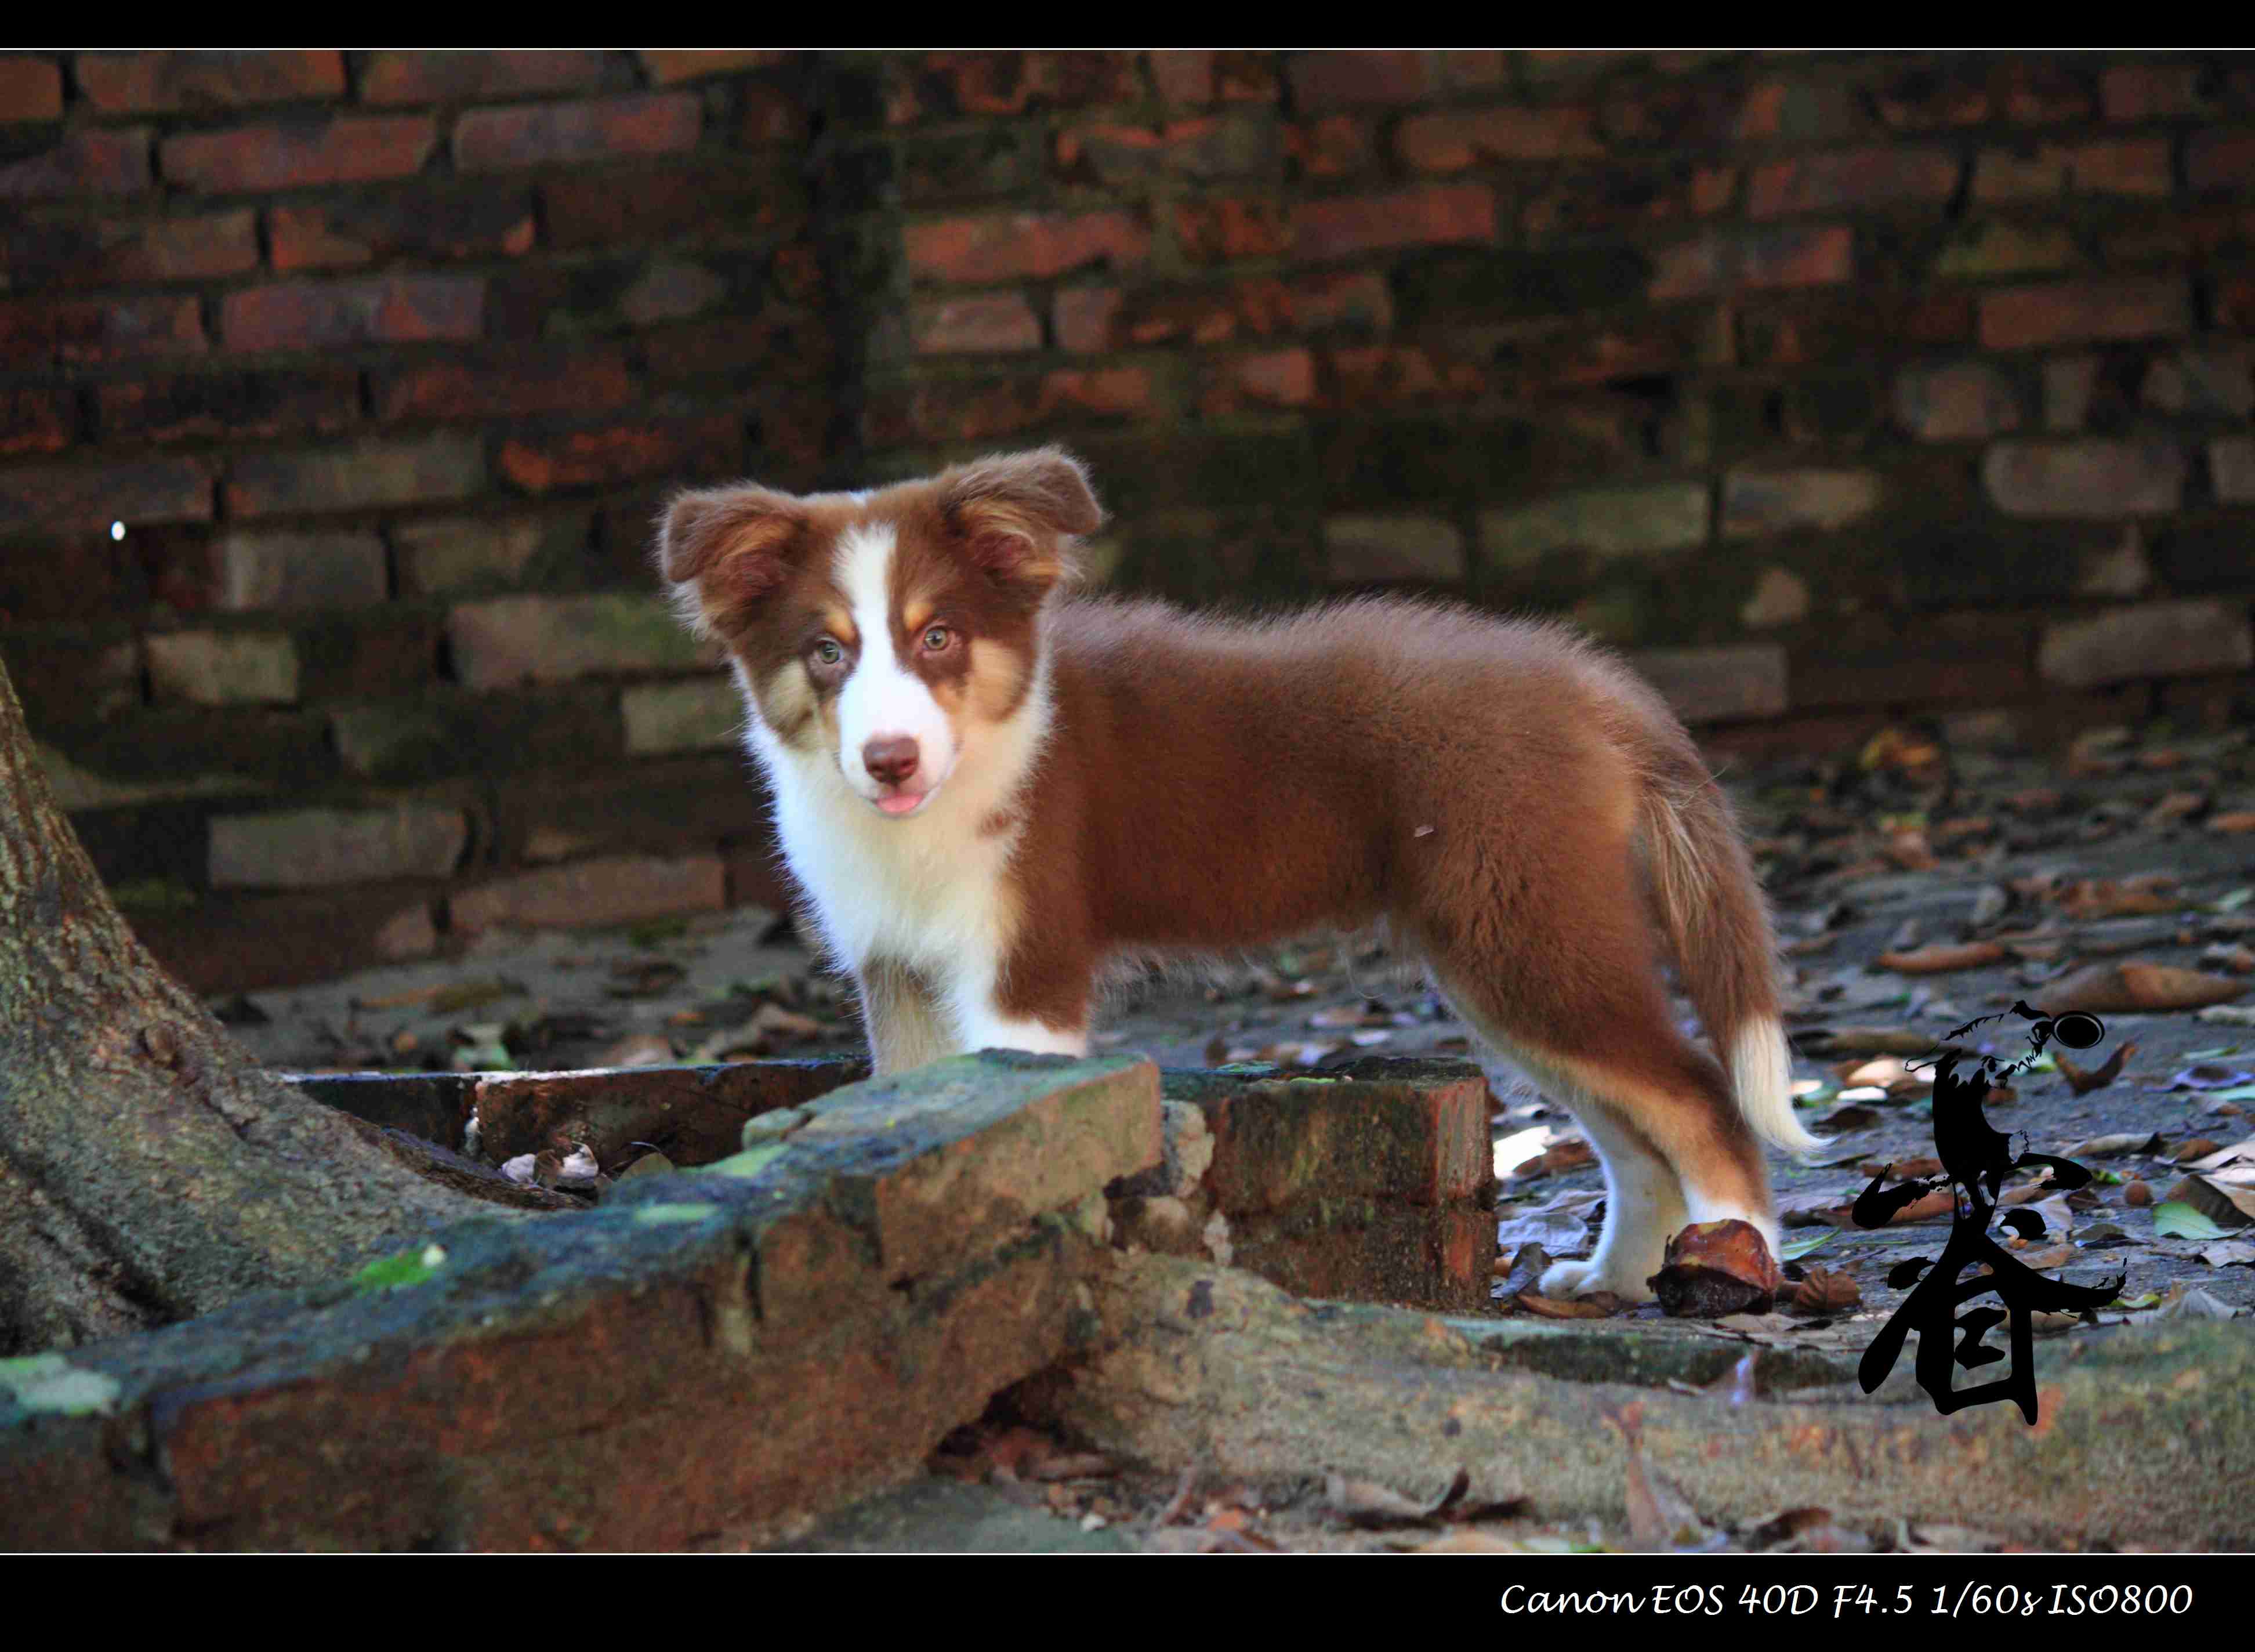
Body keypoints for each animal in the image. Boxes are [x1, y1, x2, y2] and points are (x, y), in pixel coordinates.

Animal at [656, 446, 1820, 1301]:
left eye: (937, 636)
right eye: (826, 653)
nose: (888, 759)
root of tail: (1591, 684)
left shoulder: (1024, 966)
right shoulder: (895, 972)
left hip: (1528, 935)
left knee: (1698, 1095)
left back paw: (1739, 1264)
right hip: (1514, 952)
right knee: (1633, 1132)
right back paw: (1617, 1279)